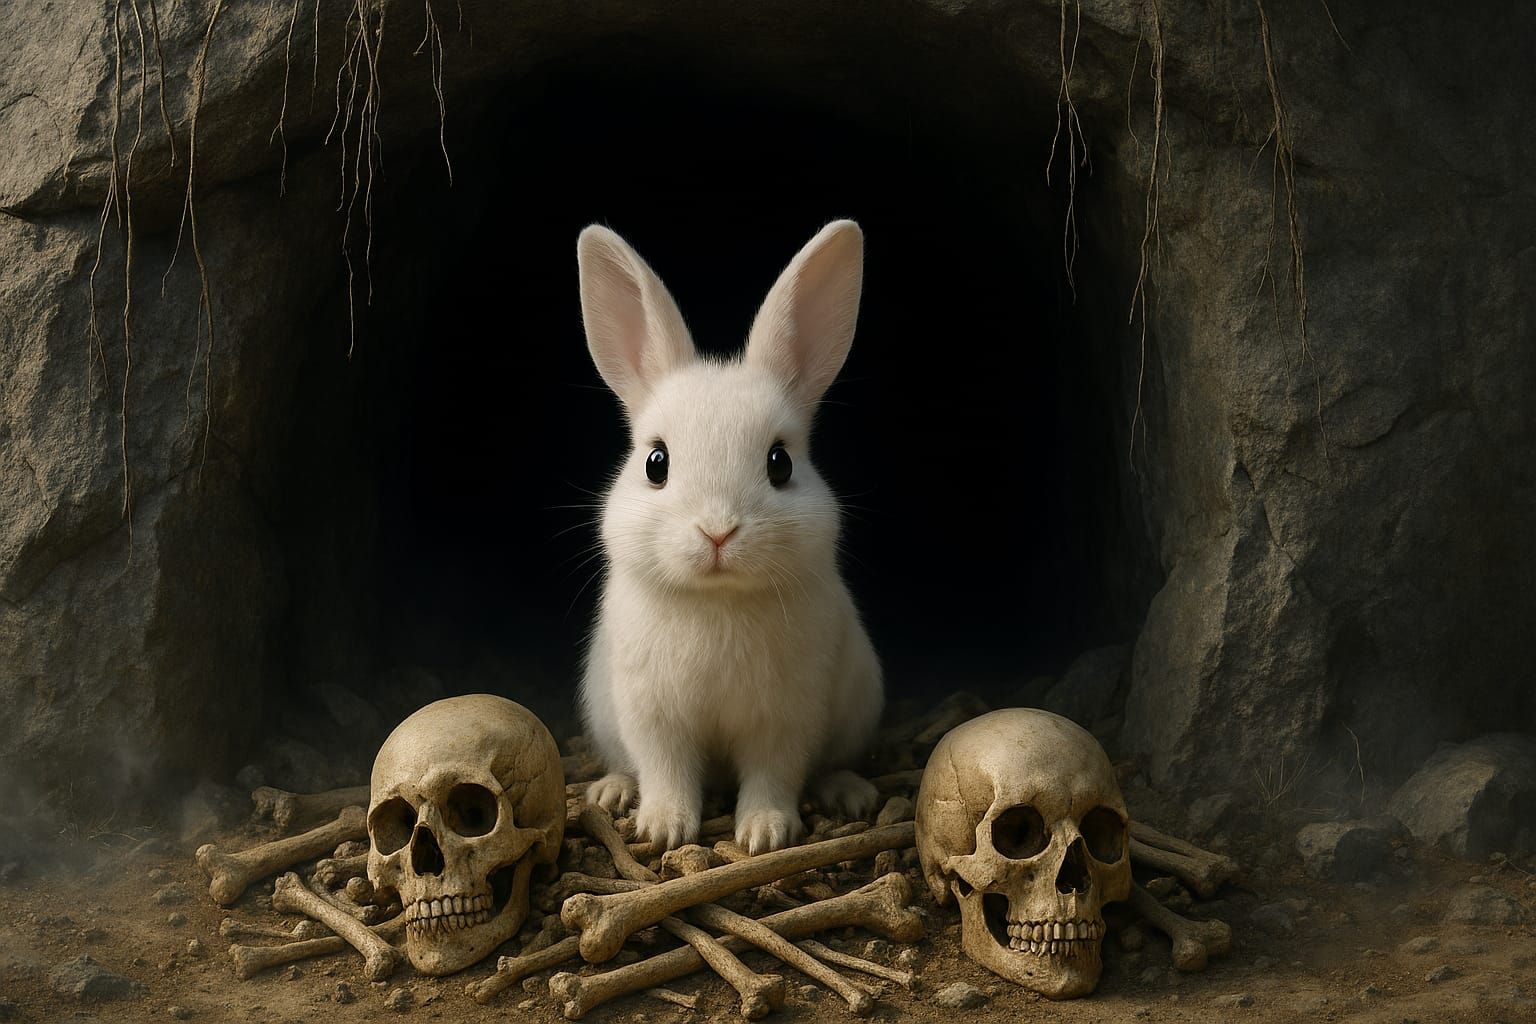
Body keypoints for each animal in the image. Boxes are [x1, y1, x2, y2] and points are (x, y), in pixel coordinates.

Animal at [575, 220, 884, 854]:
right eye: (657, 463)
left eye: (780, 463)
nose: (717, 531)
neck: (717, 600)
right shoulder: (653, 717)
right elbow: (665, 769)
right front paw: (663, 827)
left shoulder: (787, 717)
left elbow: (774, 774)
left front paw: (765, 834)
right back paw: (612, 792)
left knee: (829, 763)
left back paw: (850, 794)